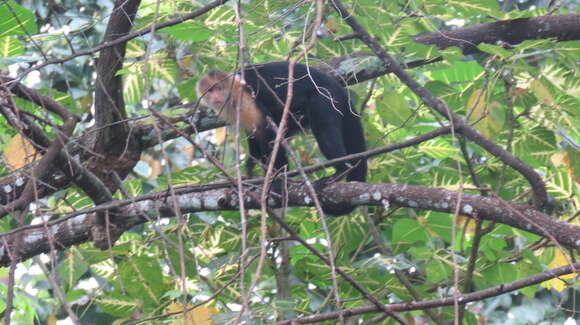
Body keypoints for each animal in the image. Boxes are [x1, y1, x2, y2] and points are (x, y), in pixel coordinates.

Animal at [196, 61, 368, 214]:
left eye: (218, 88)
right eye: (210, 91)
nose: (215, 96)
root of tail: (341, 91)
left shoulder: (246, 96)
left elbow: (268, 132)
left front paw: (277, 182)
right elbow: (254, 133)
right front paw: (250, 172)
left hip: (328, 97)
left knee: (323, 129)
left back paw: (341, 169)